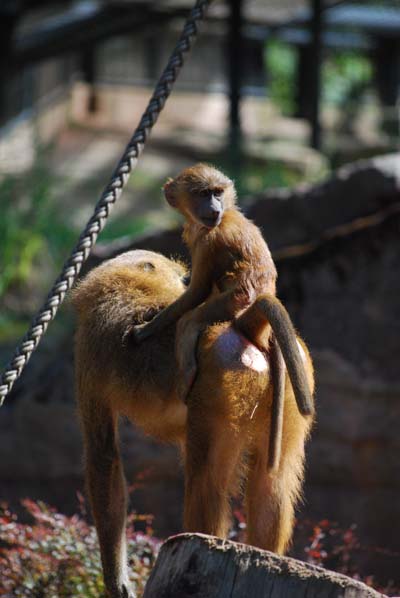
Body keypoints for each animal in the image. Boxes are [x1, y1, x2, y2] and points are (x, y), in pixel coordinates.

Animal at [133, 165, 314, 474]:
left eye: (217, 193)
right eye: (203, 193)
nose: (214, 208)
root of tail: (258, 325)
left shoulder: (209, 240)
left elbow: (196, 292)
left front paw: (147, 328)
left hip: (231, 305)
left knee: (190, 321)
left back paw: (187, 376)